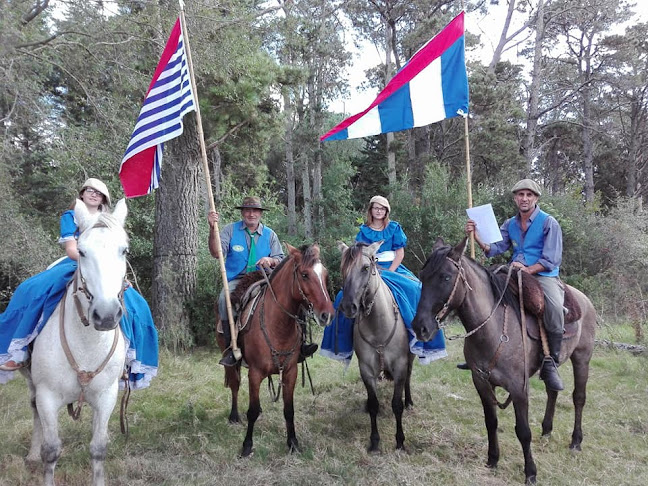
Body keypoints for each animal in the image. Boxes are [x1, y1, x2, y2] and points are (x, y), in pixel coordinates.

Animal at [21, 197, 129, 486]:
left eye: (124, 250)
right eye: (81, 251)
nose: (106, 315)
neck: (86, 346)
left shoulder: (106, 397)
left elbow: (98, 449)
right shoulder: (47, 397)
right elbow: (50, 451)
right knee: (34, 411)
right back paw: (32, 455)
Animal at [216, 245, 334, 458]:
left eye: (325, 274)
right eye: (304, 274)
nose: (326, 315)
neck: (278, 325)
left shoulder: (290, 372)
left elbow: (289, 410)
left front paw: (293, 443)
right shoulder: (255, 373)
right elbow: (251, 411)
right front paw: (247, 446)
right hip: (229, 357)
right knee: (235, 385)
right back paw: (234, 416)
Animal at [412, 237, 596, 484]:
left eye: (446, 277)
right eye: (422, 276)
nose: (420, 327)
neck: (493, 328)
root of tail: (584, 300)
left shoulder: (519, 388)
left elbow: (523, 431)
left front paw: (530, 472)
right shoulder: (481, 383)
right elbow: (491, 422)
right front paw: (492, 460)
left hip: (582, 359)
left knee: (579, 398)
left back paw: (576, 441)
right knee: (552, 390)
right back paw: (547, 430)